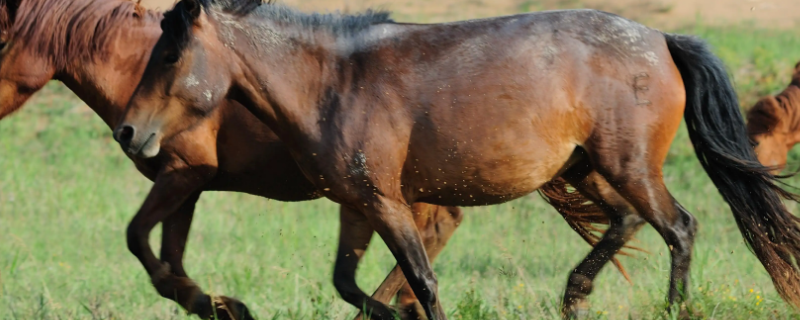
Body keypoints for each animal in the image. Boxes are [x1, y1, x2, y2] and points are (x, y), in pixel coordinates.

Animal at [0, 0, 616, 318]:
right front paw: (217, 305)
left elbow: (141, 243)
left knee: (431, 237)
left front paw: (221, 305)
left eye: (1, 41)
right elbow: (166, 258)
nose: (129, 133)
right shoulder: (188, 186)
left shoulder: (183, 175)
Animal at [114, 0, 800, 318]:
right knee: (627, 223)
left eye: (169, 56)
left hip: (628, 166)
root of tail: (660, 38)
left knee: (679, 228)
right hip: (586, 169)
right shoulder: (357, 205)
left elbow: (421, 280)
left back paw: (669, 306)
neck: (334, 82)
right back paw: (574, 296)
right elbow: (348, 284)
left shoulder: (388, 202)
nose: (127, 131)